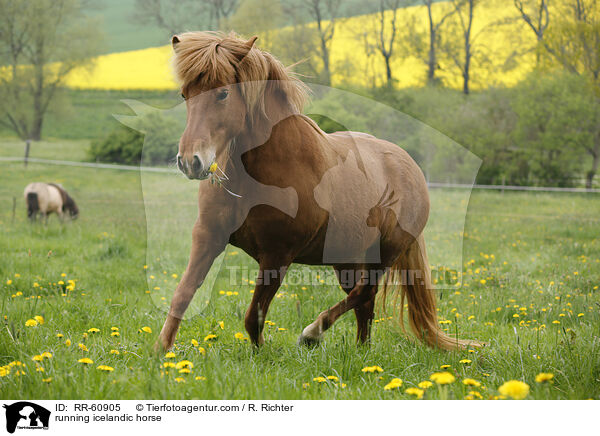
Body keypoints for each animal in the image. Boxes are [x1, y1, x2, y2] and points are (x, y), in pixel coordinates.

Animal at [157, 30, 480, 350]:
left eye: (223, 93)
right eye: (184, 94)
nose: (190, 161)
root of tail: (411, 168)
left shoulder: (277, 255)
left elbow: (253, 318)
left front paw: (265, 353)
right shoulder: (208, 237)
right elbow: (182, 295)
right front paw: (161, 353)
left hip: (385, 254)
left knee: (364, 293)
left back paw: (313, 333)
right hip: (347, 257)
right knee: (365, 305)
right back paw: (360, 353)